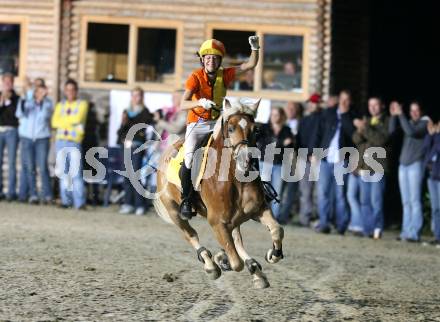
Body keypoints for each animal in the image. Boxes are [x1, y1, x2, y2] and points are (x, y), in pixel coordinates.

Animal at [155, 98, 286, 290]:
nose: (246, 159)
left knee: (237, 239)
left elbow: (277, 229)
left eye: (256, 130)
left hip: (235, 218)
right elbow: (236, 263)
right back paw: (211, 265)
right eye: (230, 128)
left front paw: (273, 254)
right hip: (174, 211)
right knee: (190, 234)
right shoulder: (216, 222)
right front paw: (222, 260)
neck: (236, 179)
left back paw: (255, 271)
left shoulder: (259, 210)